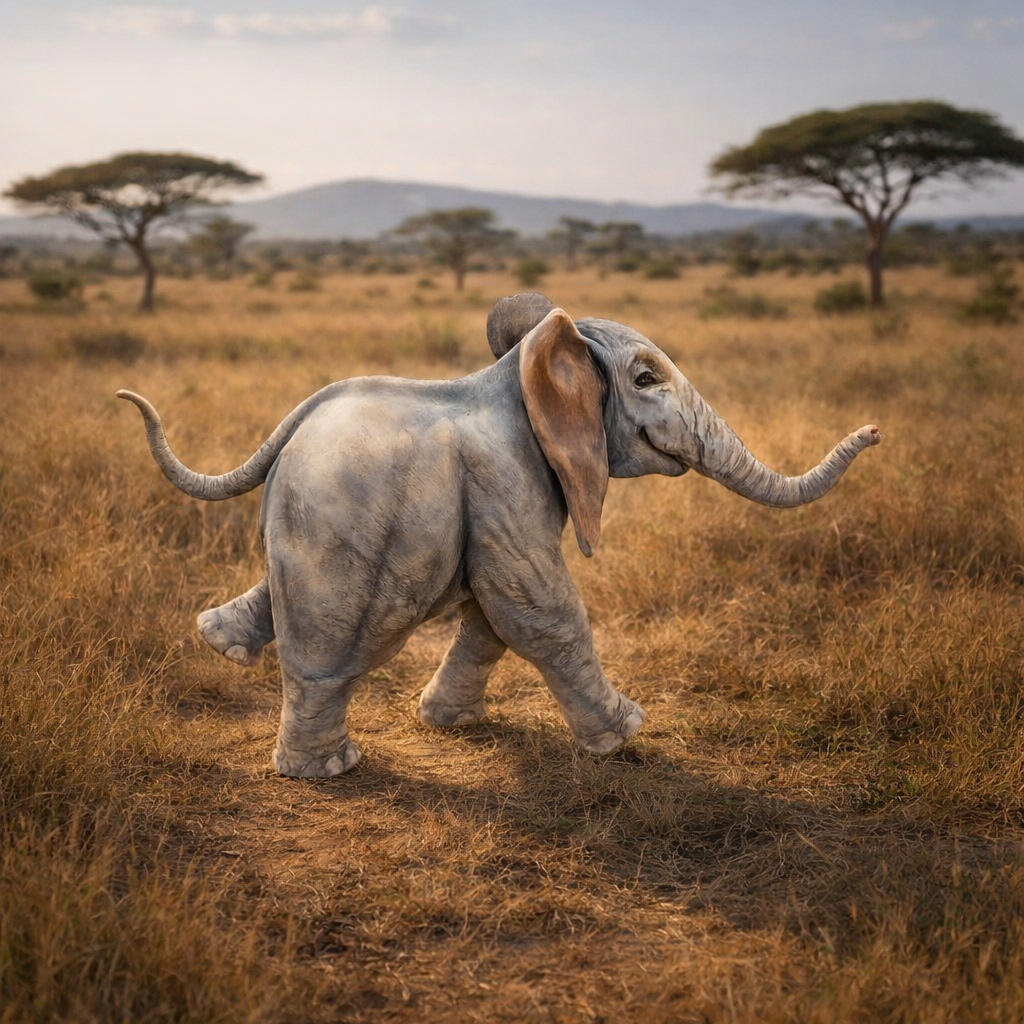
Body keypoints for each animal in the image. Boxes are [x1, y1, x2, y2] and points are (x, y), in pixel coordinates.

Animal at [117, 292, 880, 777]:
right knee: (336, 650)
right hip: (346, 534)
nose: (875, 432)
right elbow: (536, 610)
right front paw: (627, 735)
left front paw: (447, 724)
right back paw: (327, 771)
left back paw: (219, 643)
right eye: (645, 378)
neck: (529, 364)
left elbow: (493, 617)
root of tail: (292, 429)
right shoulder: (505, 480)